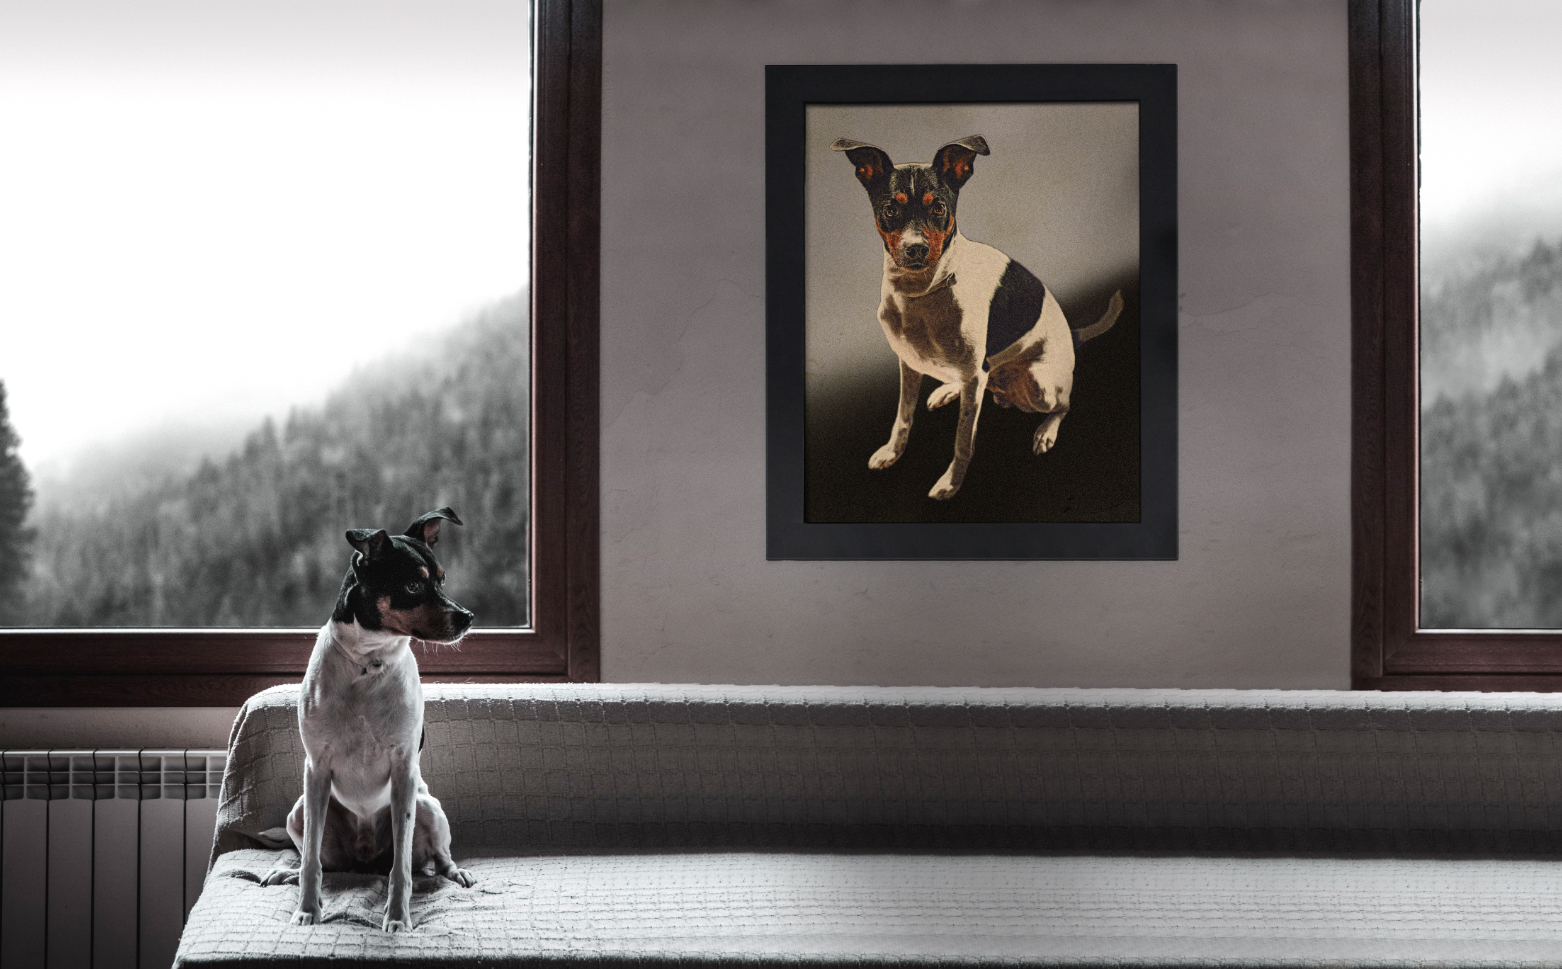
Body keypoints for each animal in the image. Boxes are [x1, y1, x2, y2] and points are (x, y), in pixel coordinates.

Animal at [260, 506, 474, 931]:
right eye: (412, 585)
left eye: (442, 579)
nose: (467, 617)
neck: (368, 665)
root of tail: (364, 859)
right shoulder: (317, 770)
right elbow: (310, 861)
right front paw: (307, 910)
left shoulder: (404, 772)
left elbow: (402, 868)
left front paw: (398, 919)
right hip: (300, 811)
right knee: (320, 859)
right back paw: (286, 872)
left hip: (428, 807)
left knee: (435, 859)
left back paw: (455, 872)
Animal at [830, 134, 1124, 500]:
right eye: (890, 210)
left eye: (939, 207)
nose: (916, 249)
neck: (924, 292)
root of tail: (1072, 336)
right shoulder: (909, 365)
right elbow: (903, 418)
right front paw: (891, 453)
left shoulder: (972, 376)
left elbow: (962, 442)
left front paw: (950, 484)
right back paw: (947, 391)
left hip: (1039, 385)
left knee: (1064, 404)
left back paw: (1046, 432)